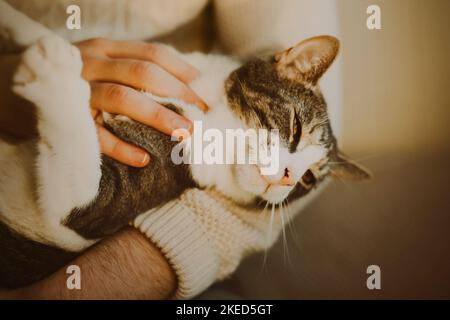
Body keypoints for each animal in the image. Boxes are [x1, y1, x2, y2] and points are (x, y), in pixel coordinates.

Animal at [0, 0, 370, 288]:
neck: (212, 120)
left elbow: (78, 172)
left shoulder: (97, 207)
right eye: (295, 128)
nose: (288, 177)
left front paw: (56, 68)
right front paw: (17, 21)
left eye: (307, 181)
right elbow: (64, 38)